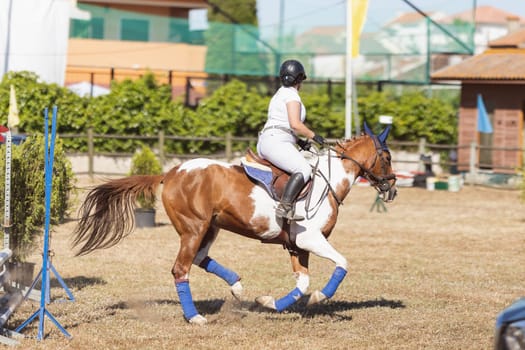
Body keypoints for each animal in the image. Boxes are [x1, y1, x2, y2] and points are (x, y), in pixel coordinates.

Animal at [70, 123, 398, 326]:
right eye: (387, 157)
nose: (392, 189)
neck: (328, 182)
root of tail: (172, 172)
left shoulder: (296, 246)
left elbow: (302, 283)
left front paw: (268, 302)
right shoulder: (310, 240)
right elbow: (342, 263)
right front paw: (320, 296)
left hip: (209, 228)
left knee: (200, 259)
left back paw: (237, 288)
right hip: (194, 228)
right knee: (182, 269)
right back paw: (195, 317)